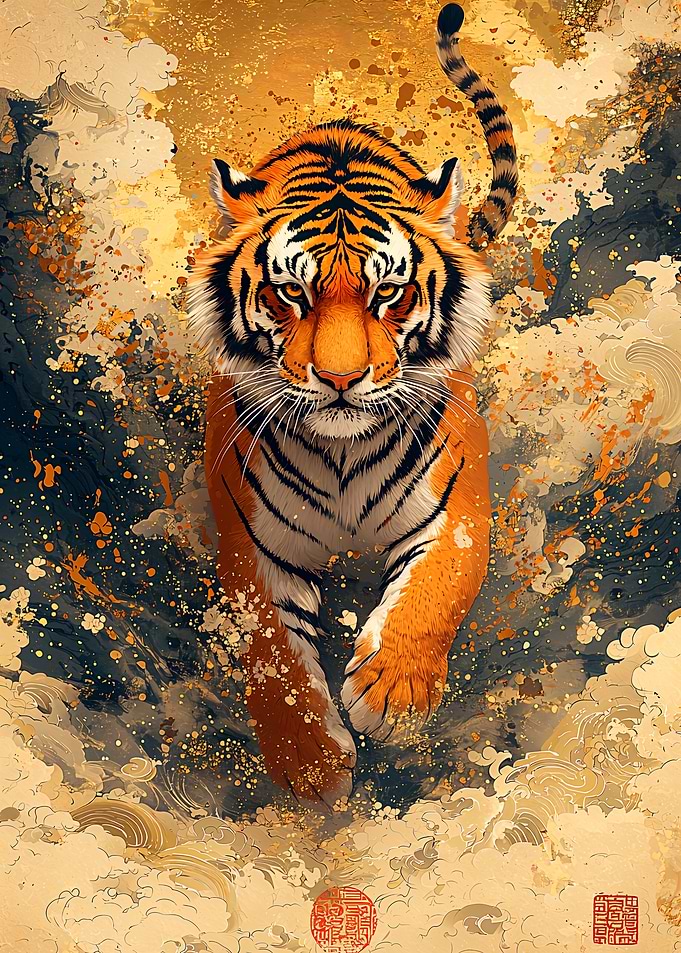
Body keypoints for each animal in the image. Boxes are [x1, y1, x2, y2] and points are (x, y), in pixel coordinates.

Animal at [188, 4, 518, 806]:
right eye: (289, 292)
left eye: (388, 293)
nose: (340, 378)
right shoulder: (253, 544)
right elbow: (270, 647)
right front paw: (308, 760)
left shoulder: (457, 510)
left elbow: (436, 588)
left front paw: (393, 696)